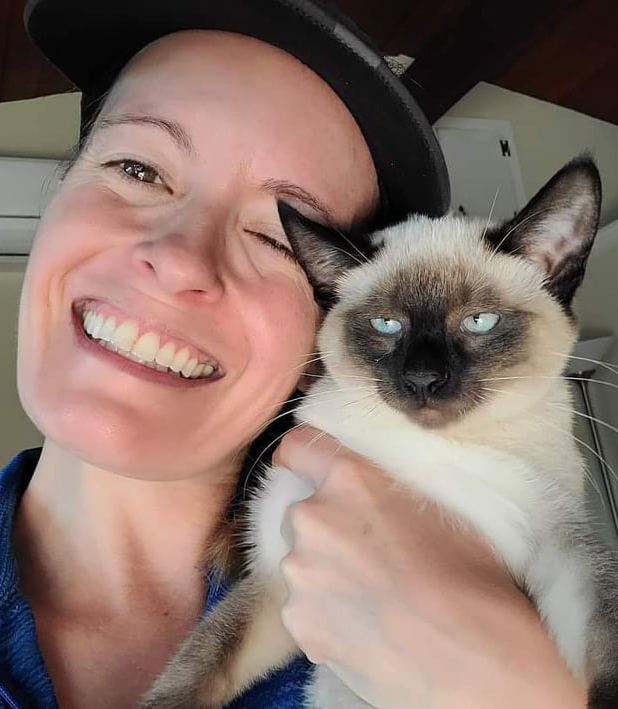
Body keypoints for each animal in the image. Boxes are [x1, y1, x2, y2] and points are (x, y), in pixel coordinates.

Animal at [142, 158, 616, 704]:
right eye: (387, 325)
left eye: (479, 322)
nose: (424, 379)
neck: (423, 451)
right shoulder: (276, 581)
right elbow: (195, 669)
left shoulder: (561, 548)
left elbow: (604, 630)